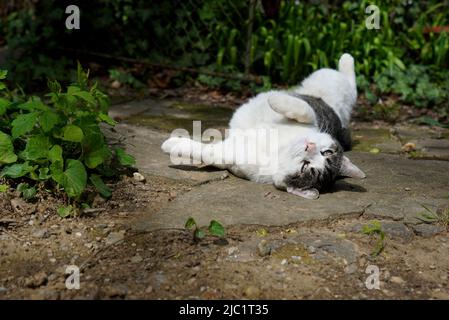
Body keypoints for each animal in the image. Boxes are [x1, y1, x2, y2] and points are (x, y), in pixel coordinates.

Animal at [161, 53, 364, 199]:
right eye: (326, 152)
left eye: (306, 167)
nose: (310, 145)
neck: (279, 149)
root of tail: (340, 116)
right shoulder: (312, 121)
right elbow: (304, 110)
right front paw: (274, 99)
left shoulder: (228, 156)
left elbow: (204, 152)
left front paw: (172, 145)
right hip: (320, 84)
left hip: (339, 92)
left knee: (350, 86)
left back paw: (347, 59)